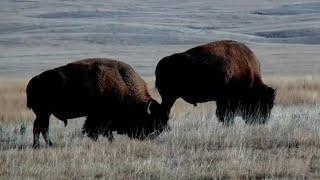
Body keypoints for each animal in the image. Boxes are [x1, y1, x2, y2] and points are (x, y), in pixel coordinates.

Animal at [26, 58, 170, 148]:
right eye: (150, 121)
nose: (148, 137)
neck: (123, 85)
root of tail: (35, 79)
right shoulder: (98, 117)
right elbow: (97, 131)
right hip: (43, 113)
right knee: (40, 127)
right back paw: (41, 146)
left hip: (44, 113)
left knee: (41, 128)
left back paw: (45, 145)